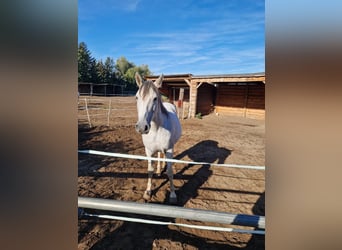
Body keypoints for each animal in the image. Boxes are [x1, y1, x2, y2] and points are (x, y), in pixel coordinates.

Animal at [134, 72, 182, 203]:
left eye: (155, 98)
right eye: (137, 97)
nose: (142, 127)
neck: (156, 128)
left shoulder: (169, 149)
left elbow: (170, 172)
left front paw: (173, 195)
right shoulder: (149, 151)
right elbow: (150, 170)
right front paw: (147, 192)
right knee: (160, 155)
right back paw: (159, 170)